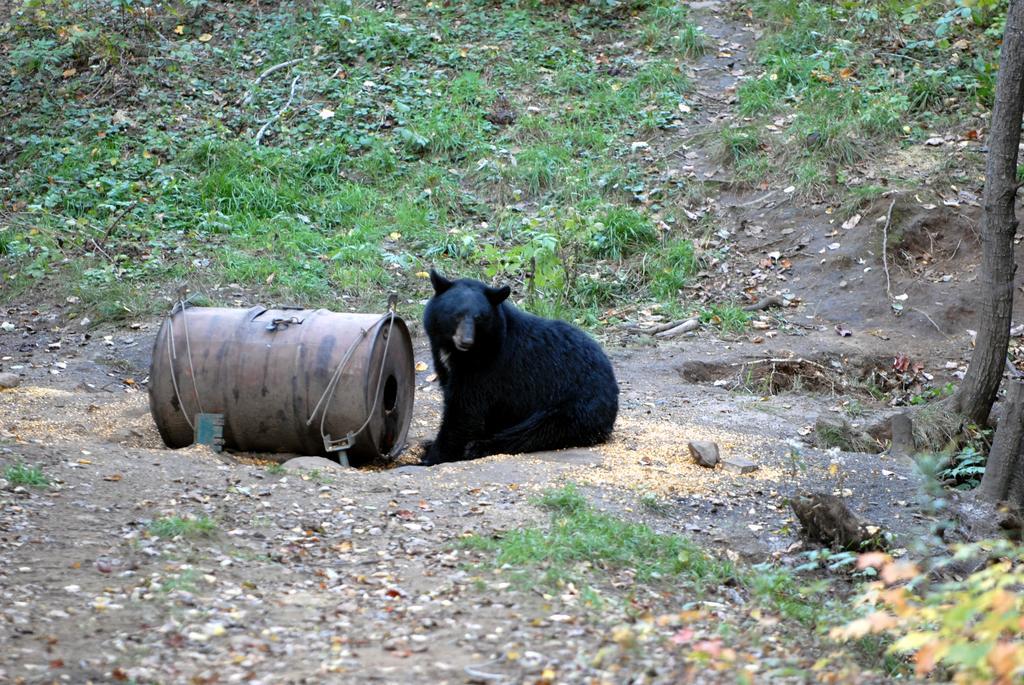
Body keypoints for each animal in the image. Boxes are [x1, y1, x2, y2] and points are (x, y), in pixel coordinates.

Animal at [419, 268, 618, 464]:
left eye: (480, 318)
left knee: (536, 431)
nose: (466, 341)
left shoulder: (487, 366)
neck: (460, 352)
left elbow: (463, 409)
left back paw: (479, 446)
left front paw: (432, 456)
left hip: (573, 405)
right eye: (456, 315)